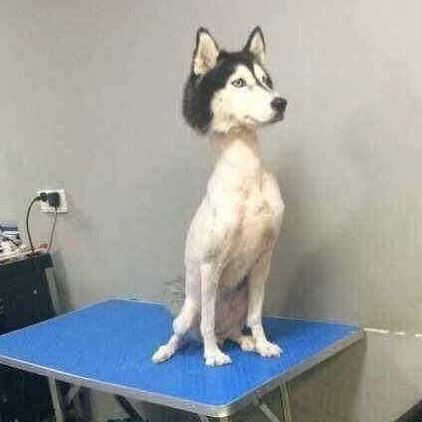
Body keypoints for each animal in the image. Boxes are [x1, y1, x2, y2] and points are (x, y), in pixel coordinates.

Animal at [152, 26, 286, 366]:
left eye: (265, 81)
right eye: (238, 82)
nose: (281, 102)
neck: (247, 177)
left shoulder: (263, 260)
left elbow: (256, 316)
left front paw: (263, 344)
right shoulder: (210, 266)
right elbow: (208, 321)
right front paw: (212, 356)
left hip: (241, 295)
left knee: (232, 327)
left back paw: (243, 341)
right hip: (191, 306)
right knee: (189, 329)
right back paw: (169, 350)